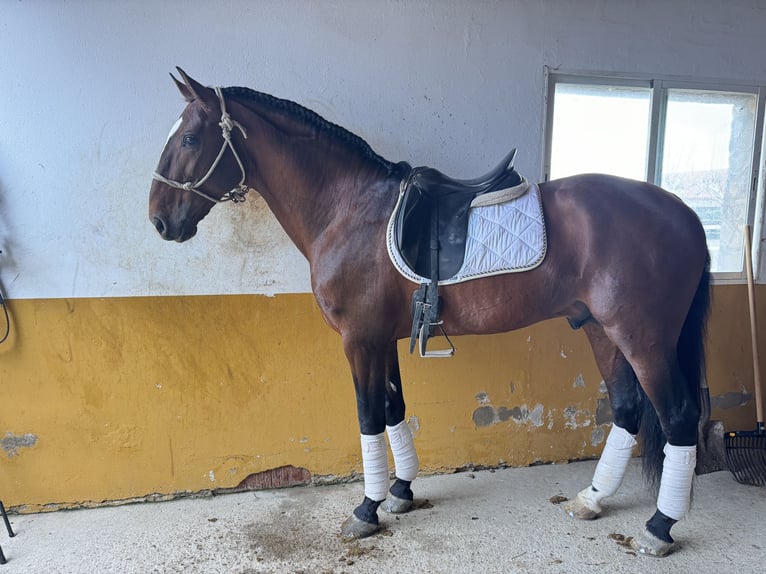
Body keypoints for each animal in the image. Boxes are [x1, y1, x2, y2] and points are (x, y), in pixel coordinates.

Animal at [148, 70, 712, 560]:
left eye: (192, 139)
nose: (159, 222)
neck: (348, 209)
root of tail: (685, 214)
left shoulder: (359, 339)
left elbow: (369, 415)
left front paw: (368, 509)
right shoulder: (383, 338)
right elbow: (394, 408)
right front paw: (400, 491)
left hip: (643, 338)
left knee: (679, 416)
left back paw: (660, 526)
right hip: (600, 329)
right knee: (627, 410)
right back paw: (592, 499)